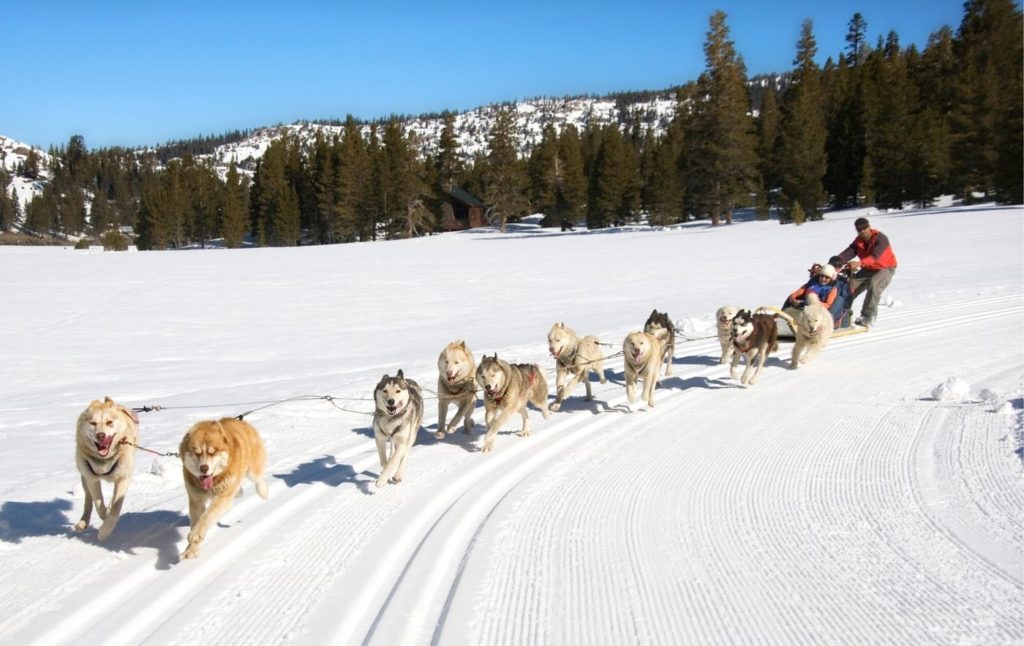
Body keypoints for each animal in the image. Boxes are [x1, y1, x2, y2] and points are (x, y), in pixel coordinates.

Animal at [73, 399, 139, 540]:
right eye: (93, 423)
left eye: (109, 422)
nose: (101, 435)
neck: (104, 460)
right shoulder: (91, 479)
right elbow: (98, 504)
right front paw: (105, 515)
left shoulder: (123, 478)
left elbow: (115, 507)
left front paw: (106, 530)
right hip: (84, 477)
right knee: (88, 500)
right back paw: (83, 522)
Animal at [180, 419, 268, 561]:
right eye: (197, 452)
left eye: (212, 452)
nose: (203, 468)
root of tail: (240, 421)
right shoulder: (196, 500)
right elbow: (197, 520)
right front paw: (191, 550)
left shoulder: (221, 497)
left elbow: (206, 516)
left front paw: (196, 535)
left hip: (252, 470)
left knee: (258, 478)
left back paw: (264, 492)